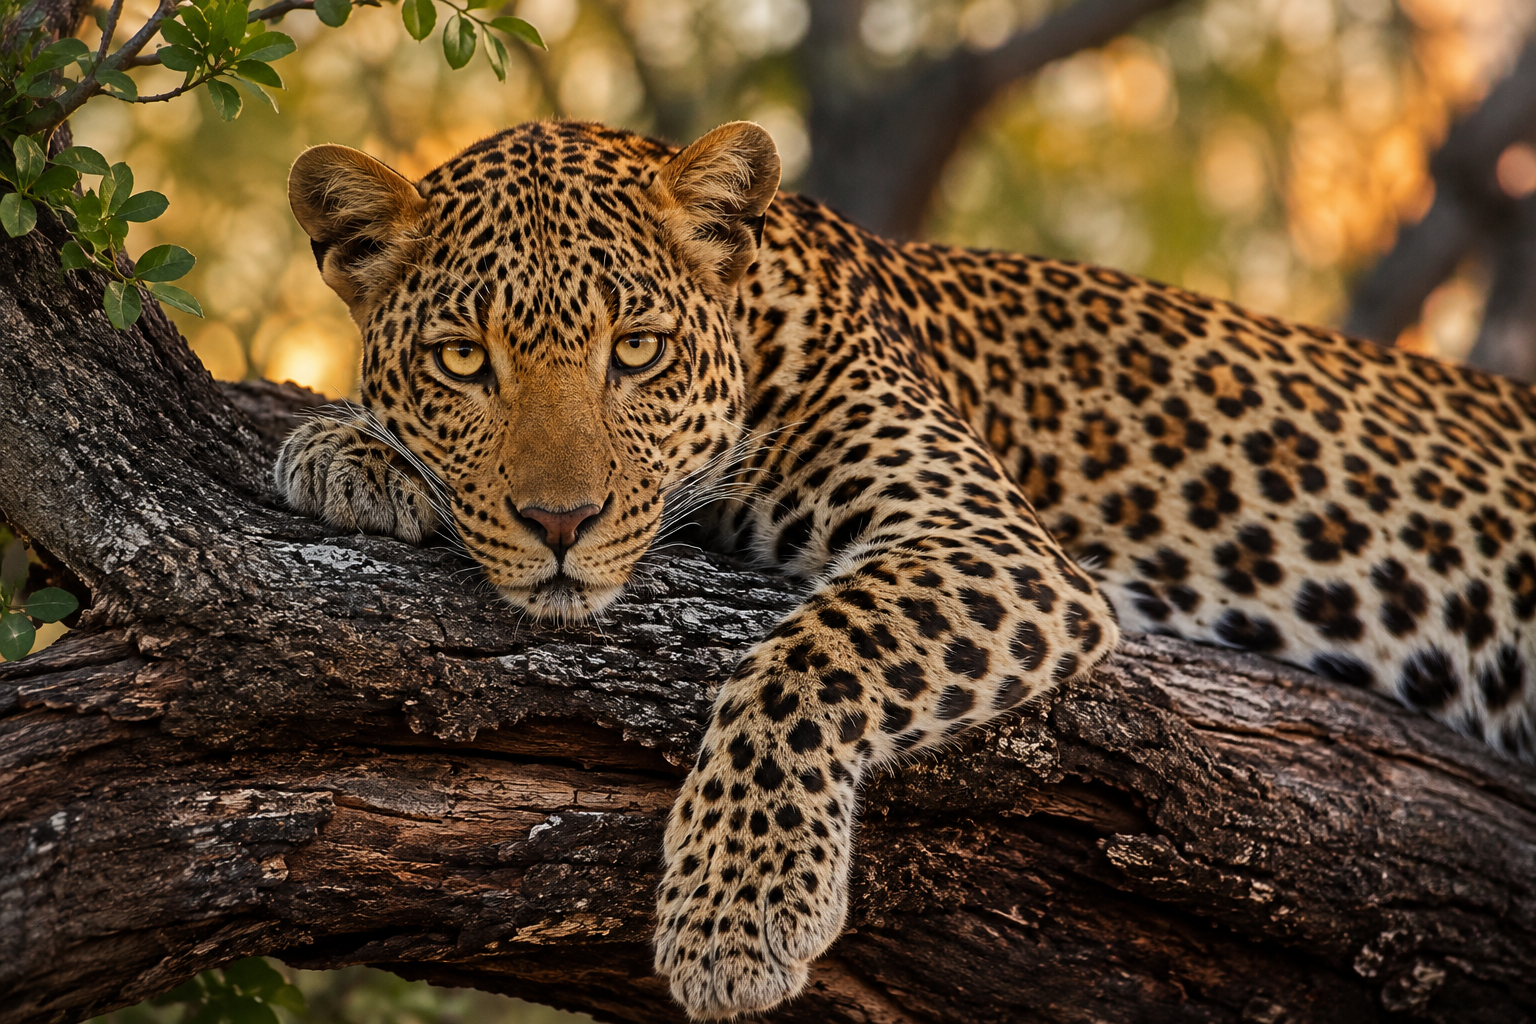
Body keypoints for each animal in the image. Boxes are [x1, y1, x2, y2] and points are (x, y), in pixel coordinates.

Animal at [275, 118, 1536, 1019]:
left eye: (636, 350)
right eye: (461, 359)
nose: (559, 520)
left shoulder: (992, 541)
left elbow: (804, 662)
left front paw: (737, 915)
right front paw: (348, 451)